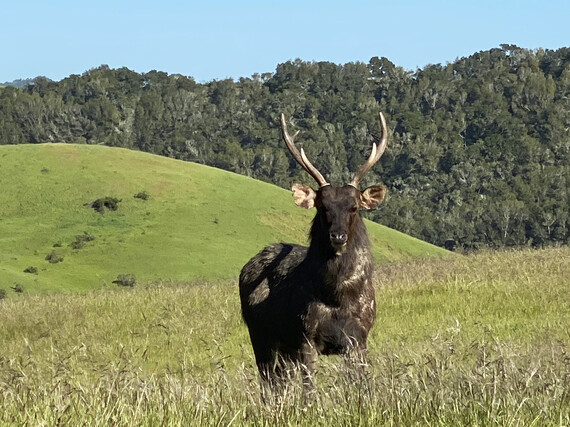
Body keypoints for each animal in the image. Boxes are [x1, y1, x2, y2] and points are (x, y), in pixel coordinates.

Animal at [235, 112, 386, 392]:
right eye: (322, 206)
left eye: (354, 207)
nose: (337, 236)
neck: (338, 298)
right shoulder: (305, 334)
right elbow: (310, 390)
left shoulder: (360, 336)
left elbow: (359, 383)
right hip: (260, 336)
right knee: (270, 383)